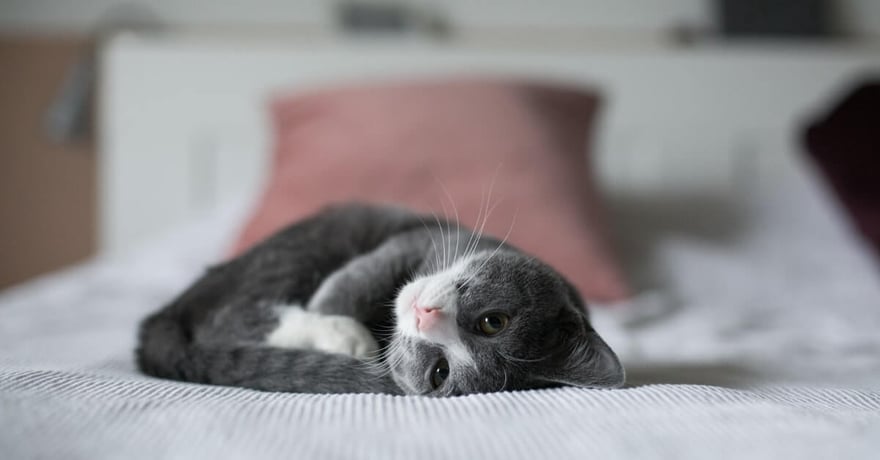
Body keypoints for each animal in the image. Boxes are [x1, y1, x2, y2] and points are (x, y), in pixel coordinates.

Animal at [136, 203, 624, 398]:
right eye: (494, 321)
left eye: (440, 371)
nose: (425, 315)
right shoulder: (413, 241)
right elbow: (355, 281)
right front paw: (341, 326)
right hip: (304, 247)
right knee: (224, 318)